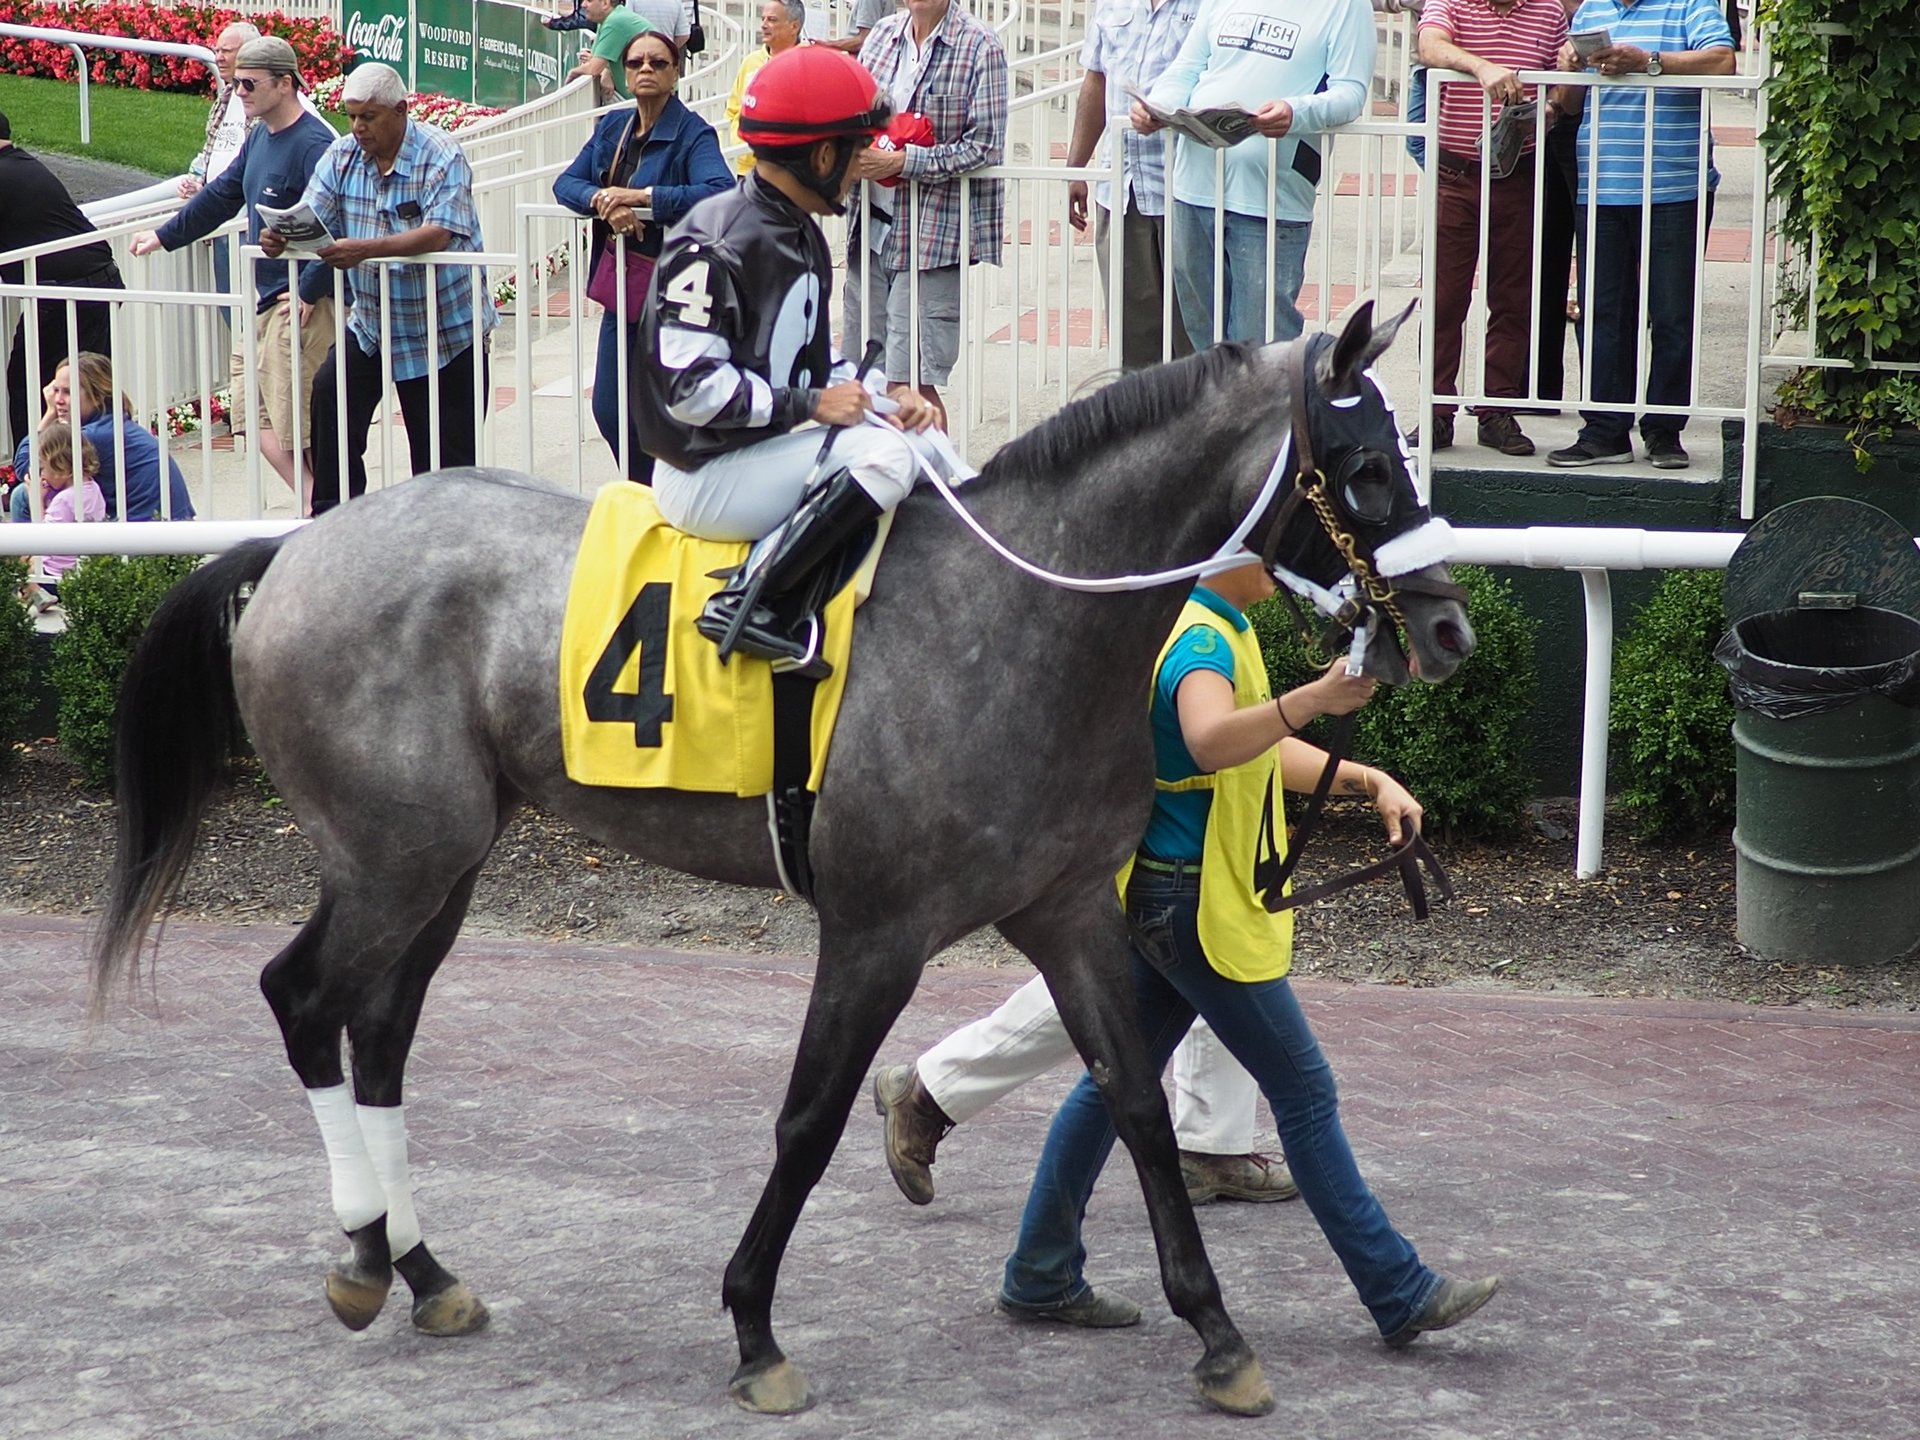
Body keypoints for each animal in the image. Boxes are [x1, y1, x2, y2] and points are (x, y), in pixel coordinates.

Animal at [90, 301, 1475, 1417]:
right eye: (1363, 465)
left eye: (1410, 453)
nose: (1452, 628)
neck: (1022, 618)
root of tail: (296, 545)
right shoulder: (876, 928)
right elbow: (808, 1118)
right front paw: (754, 1329)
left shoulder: (1070, 907)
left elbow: (1130, 1101)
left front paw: (1218, 1332)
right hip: (392, 858)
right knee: (302, 999)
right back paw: (363, 1258)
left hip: (445, 864)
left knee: (376, 1035)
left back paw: (423, 1270)